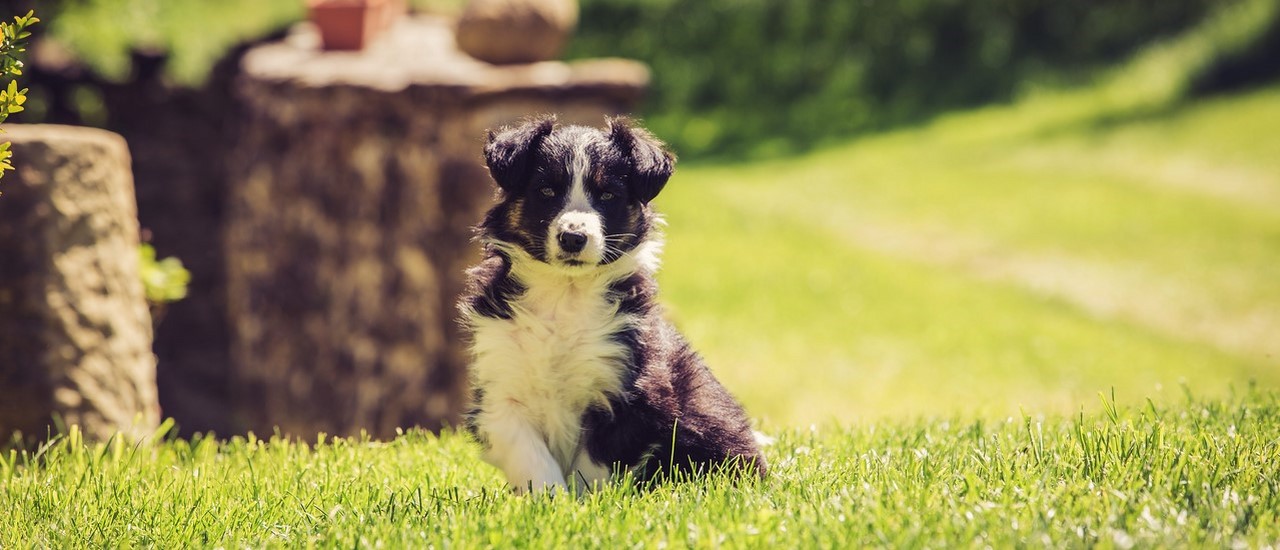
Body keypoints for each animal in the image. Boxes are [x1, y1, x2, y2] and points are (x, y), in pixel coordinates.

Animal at [458, 115, 757, 493]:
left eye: (607, 194)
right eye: (546, 191)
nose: (573, 237)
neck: (566, 293)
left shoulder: (628, 395)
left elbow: (593, 467)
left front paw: (587, 503)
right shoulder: (500, 389)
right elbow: (530, 456)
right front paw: (548, 499)